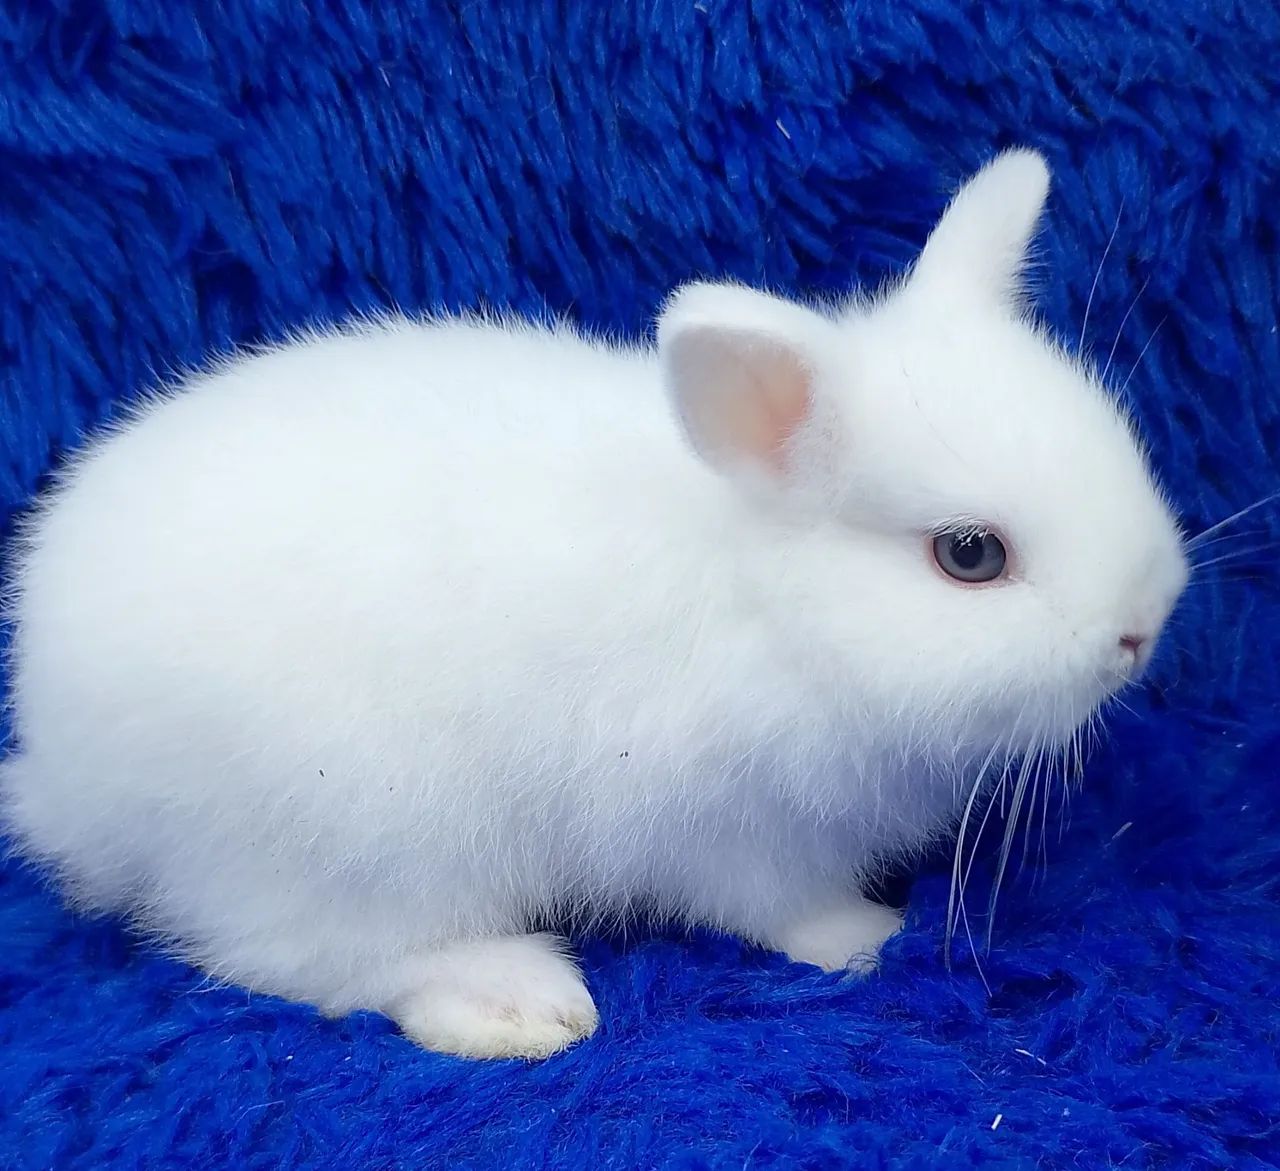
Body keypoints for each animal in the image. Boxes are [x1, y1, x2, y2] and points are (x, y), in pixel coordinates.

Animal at [0, 149, 1188, 1059]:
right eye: (970, 555)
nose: (1138, 633)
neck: (767, 599)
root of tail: (68, 769)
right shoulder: (736, 830)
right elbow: (782, 908)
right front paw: (868, 937)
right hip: (344, 839)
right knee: (304, 958)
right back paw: (515, 1001)